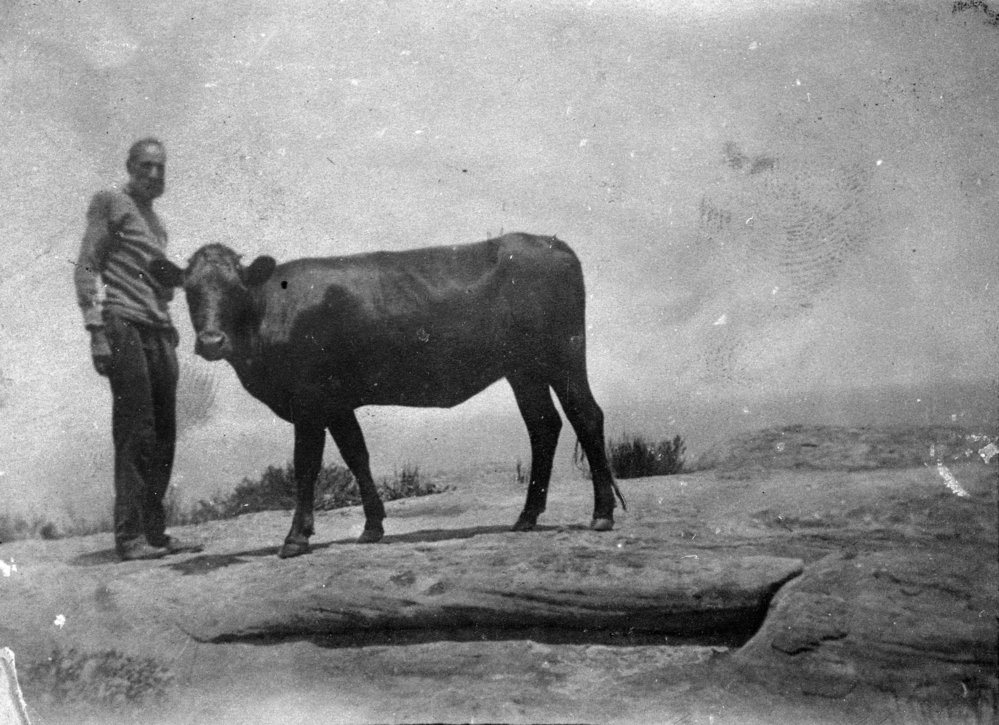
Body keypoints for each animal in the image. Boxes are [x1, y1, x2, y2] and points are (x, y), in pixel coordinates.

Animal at [151, 233, 622, 558]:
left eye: (236, 290)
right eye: (190, 291)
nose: (212, 341)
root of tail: (548, 241)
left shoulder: (309, 401)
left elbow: (306, 467)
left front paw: (296, 538)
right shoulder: (337, 403)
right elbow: (356, 455)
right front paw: (372, 527)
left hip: (562, 353)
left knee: (586, 415)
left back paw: (601, 514)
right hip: (523, 370)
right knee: (543, 425)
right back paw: (526, 517)